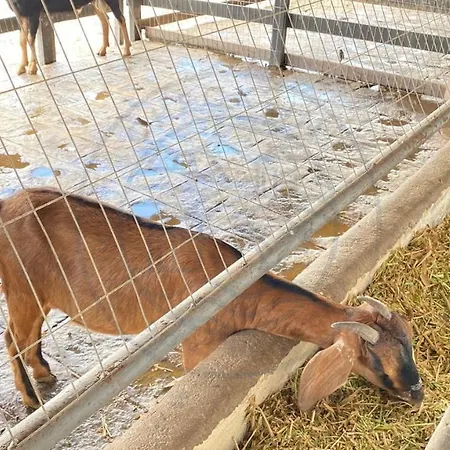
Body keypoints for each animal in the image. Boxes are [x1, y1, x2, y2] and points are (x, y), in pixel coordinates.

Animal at [0, 188, 424, 410]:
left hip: (38, 296)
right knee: (13, 339)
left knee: (28, 337)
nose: (418, 394)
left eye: (409, 347)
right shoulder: (196, 344)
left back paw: (45, 373)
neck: (234, 287)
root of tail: (8, 204)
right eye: (378, 364)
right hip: (21, 288)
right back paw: (32, 400)